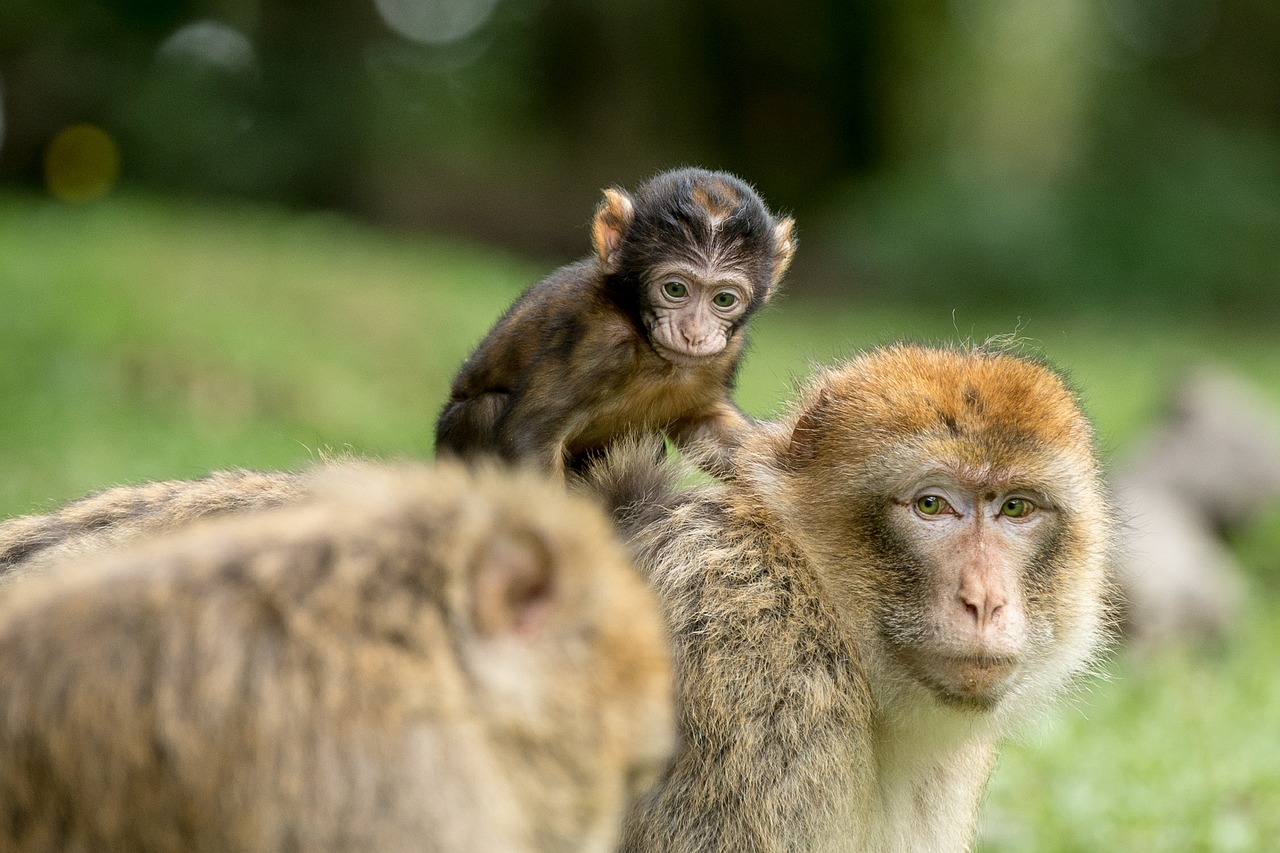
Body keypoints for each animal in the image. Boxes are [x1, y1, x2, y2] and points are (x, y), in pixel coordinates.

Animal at [435, 166, 793, 471]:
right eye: (675, 289)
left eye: (723, 299)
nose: (694, 333)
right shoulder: (595, 340)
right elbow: (529, 439)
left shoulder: (726, 354)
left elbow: (707, 428)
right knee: (486, 411)